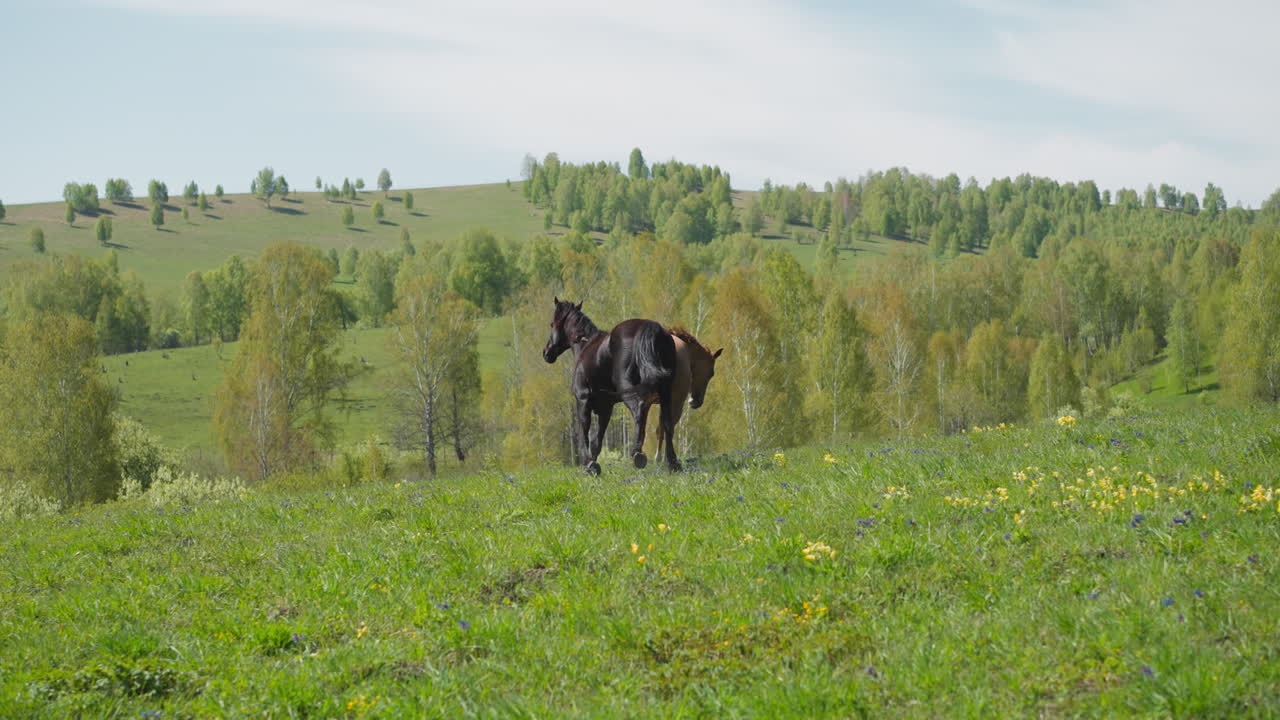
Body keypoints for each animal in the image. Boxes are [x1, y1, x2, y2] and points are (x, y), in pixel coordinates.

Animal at [542, 298, 682, 474]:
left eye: (551, 324)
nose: (546, 352)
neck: (585, 345)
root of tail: (650, 327)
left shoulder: (582, 400)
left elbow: (584, 433)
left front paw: (589, 464)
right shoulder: (605, 407)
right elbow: (597, 440)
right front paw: (594, 467)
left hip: (627, 388)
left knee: (639, 408)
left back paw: (637, 453)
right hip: (665, 391)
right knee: (667, 422)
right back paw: (673, 463)